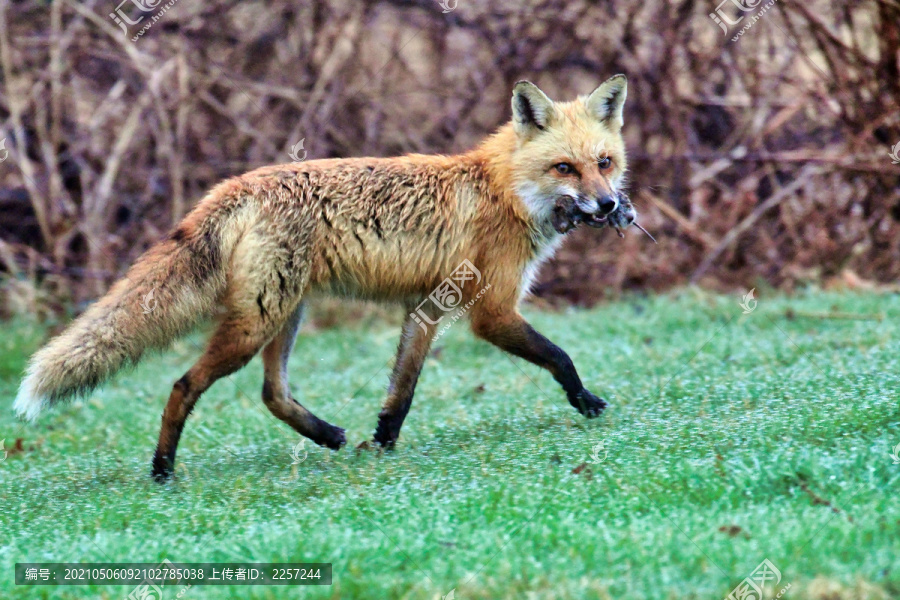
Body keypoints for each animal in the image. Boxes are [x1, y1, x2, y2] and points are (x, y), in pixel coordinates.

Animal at [15, 75, 640, 480]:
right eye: (565, 168)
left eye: (604, 162)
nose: (610, 206)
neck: (506, 189)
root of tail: (237, 184)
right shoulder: (491, 312)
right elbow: (560, 356)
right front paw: (586, 402)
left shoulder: (427, 308)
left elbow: (402, 390)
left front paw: (382, 444)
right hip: (255, 325)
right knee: (184, 386)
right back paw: (162, 468)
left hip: (284, 315)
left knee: (271, 393)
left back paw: (327, 435)